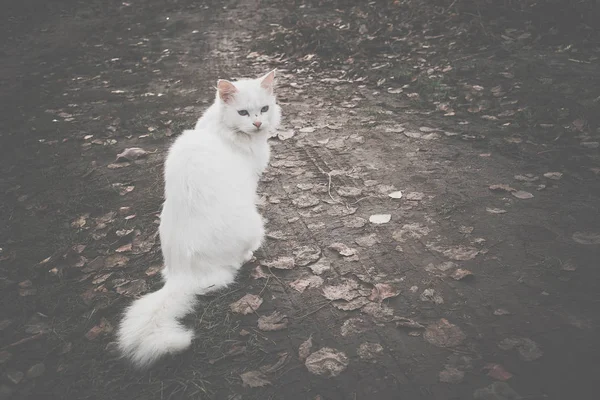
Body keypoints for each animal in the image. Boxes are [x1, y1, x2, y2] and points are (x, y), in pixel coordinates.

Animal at [118, 70, 282, 368]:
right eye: (243, 112)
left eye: (264, 109)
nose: (257, 123)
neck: (221, 130)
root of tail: (182, 275)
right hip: (254, 223)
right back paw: (249, 255)